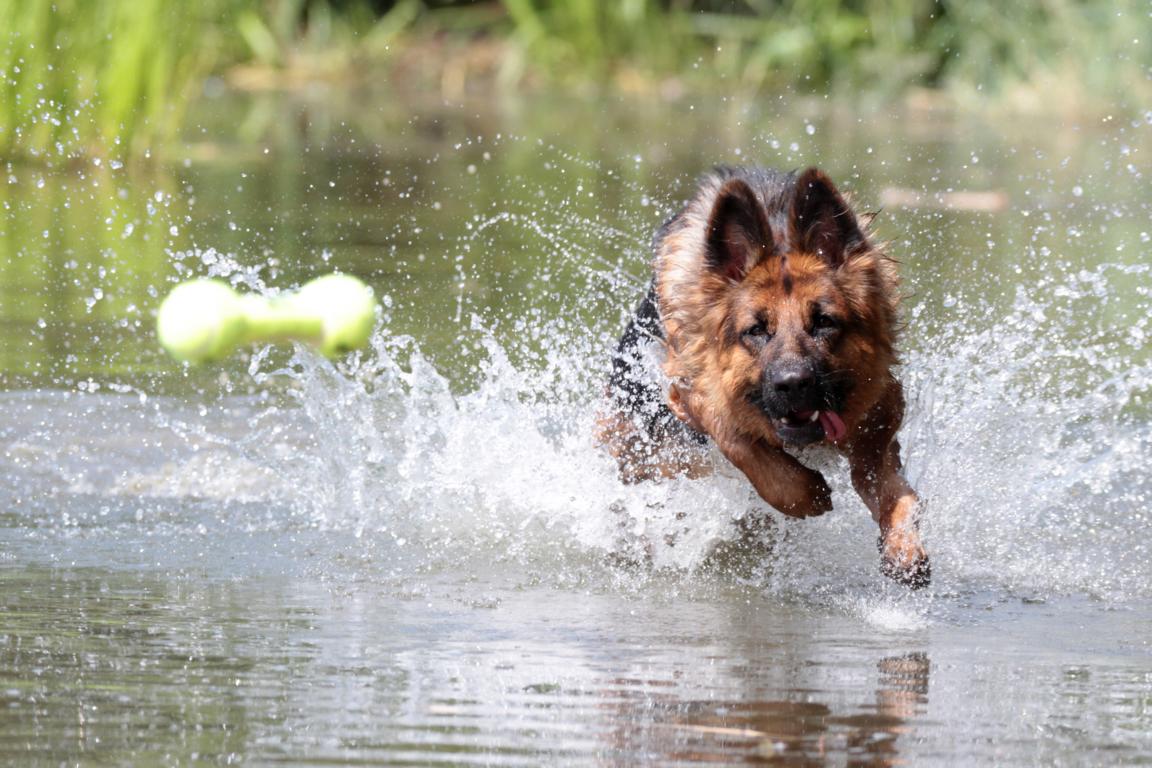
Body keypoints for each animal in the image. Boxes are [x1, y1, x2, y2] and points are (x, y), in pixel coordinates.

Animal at [599, 166, 930, 589]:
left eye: (823, 322)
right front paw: (807, 494)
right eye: (756, 330)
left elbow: (897, 496)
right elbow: (739, 440)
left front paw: (904, 549)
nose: (793, 384)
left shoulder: (878, 426)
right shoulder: (688, 392)